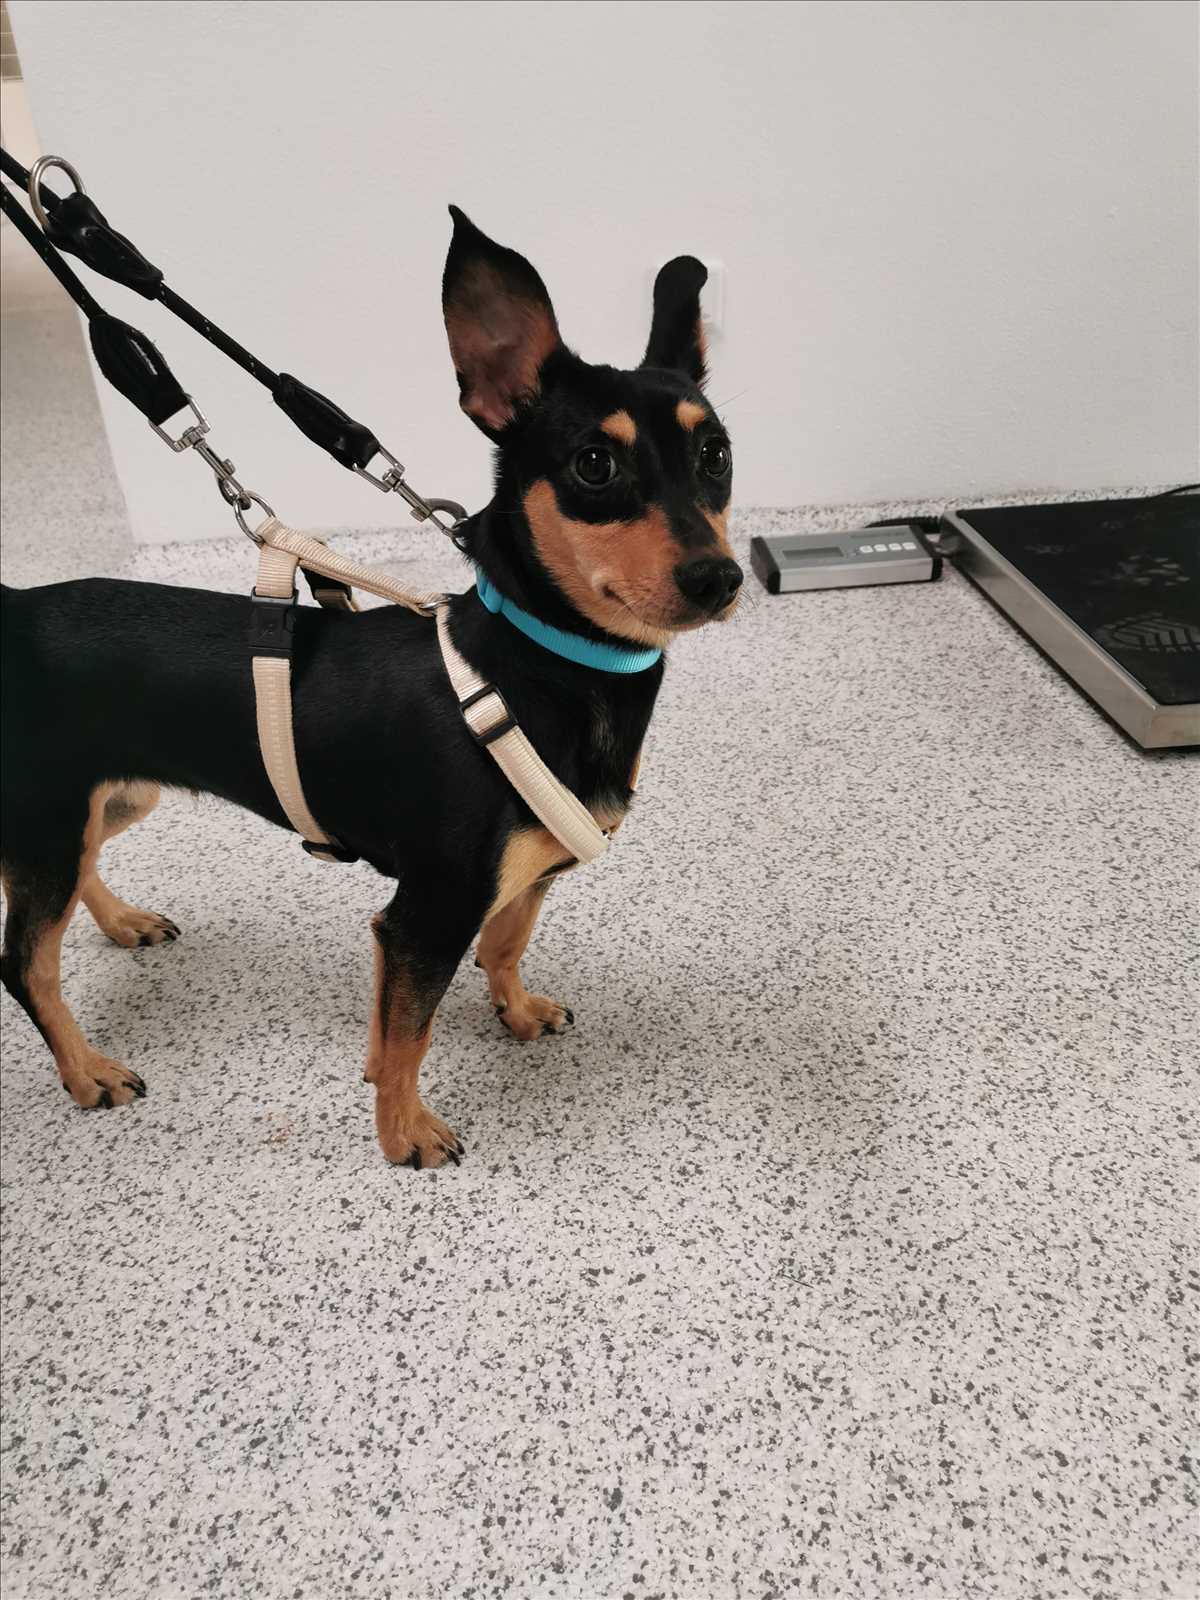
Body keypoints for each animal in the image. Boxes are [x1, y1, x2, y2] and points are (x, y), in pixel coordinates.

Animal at [0, 207, 741, 1168]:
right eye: (591, 466)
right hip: (46, 818)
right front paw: (404, 1133)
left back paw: (123, 922)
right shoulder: (426, 913)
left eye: (716, 454)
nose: (719, 577)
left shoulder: (520, 880)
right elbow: (407, 1035)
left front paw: (516, 1012)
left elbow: (506, 946)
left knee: (79, 875)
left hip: (110, 799)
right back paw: (86, 1070)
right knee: (27, 964)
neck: (536, 667)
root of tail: (13, 607)